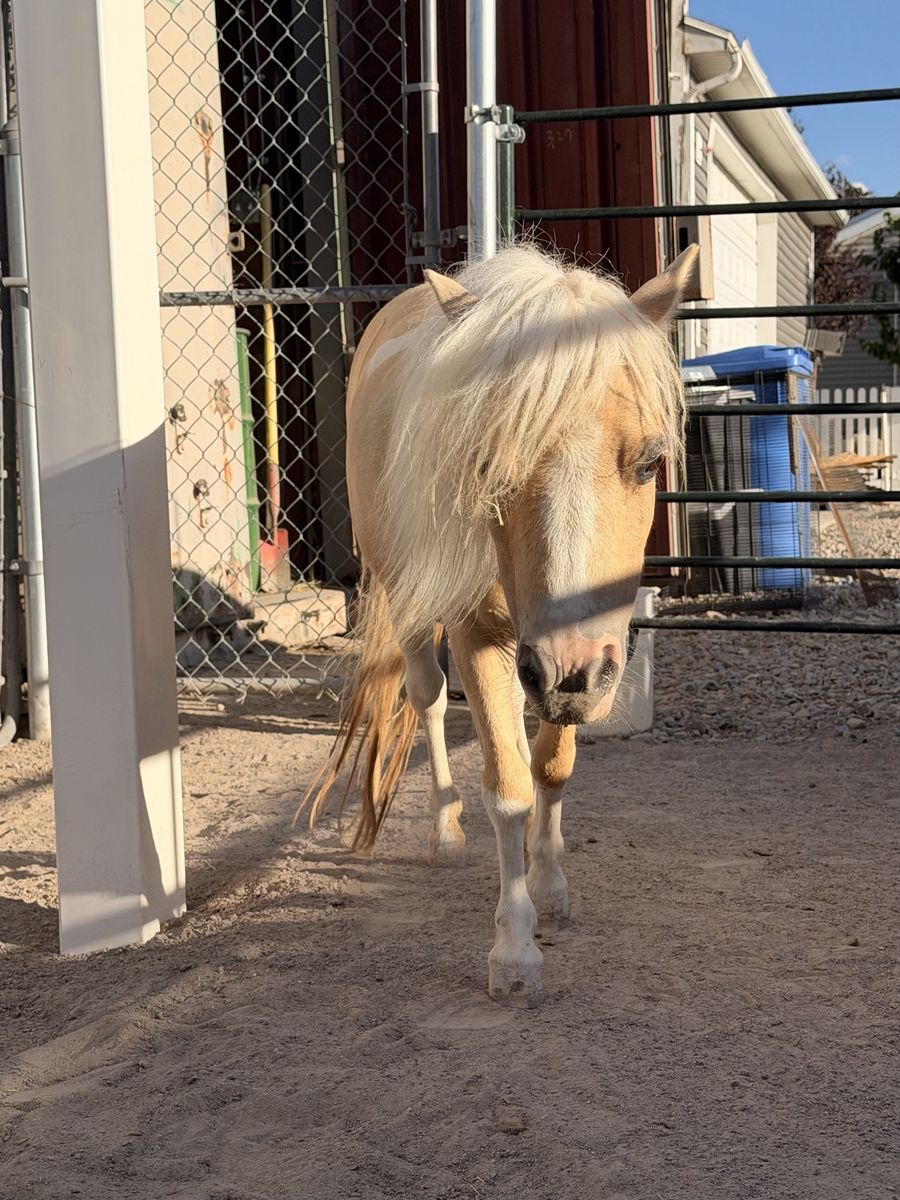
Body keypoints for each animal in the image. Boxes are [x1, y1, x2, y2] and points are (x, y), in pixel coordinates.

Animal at [305, 241, 698, 1003]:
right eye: (487, 464)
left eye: (648, 462)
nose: (569, 672)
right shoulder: (482, 637)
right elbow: (509, 789)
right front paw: (515, 949)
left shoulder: (575, 658)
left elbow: (550, 766)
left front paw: (551, 881)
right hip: (412, 604)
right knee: (428, 700)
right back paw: (445, 831)